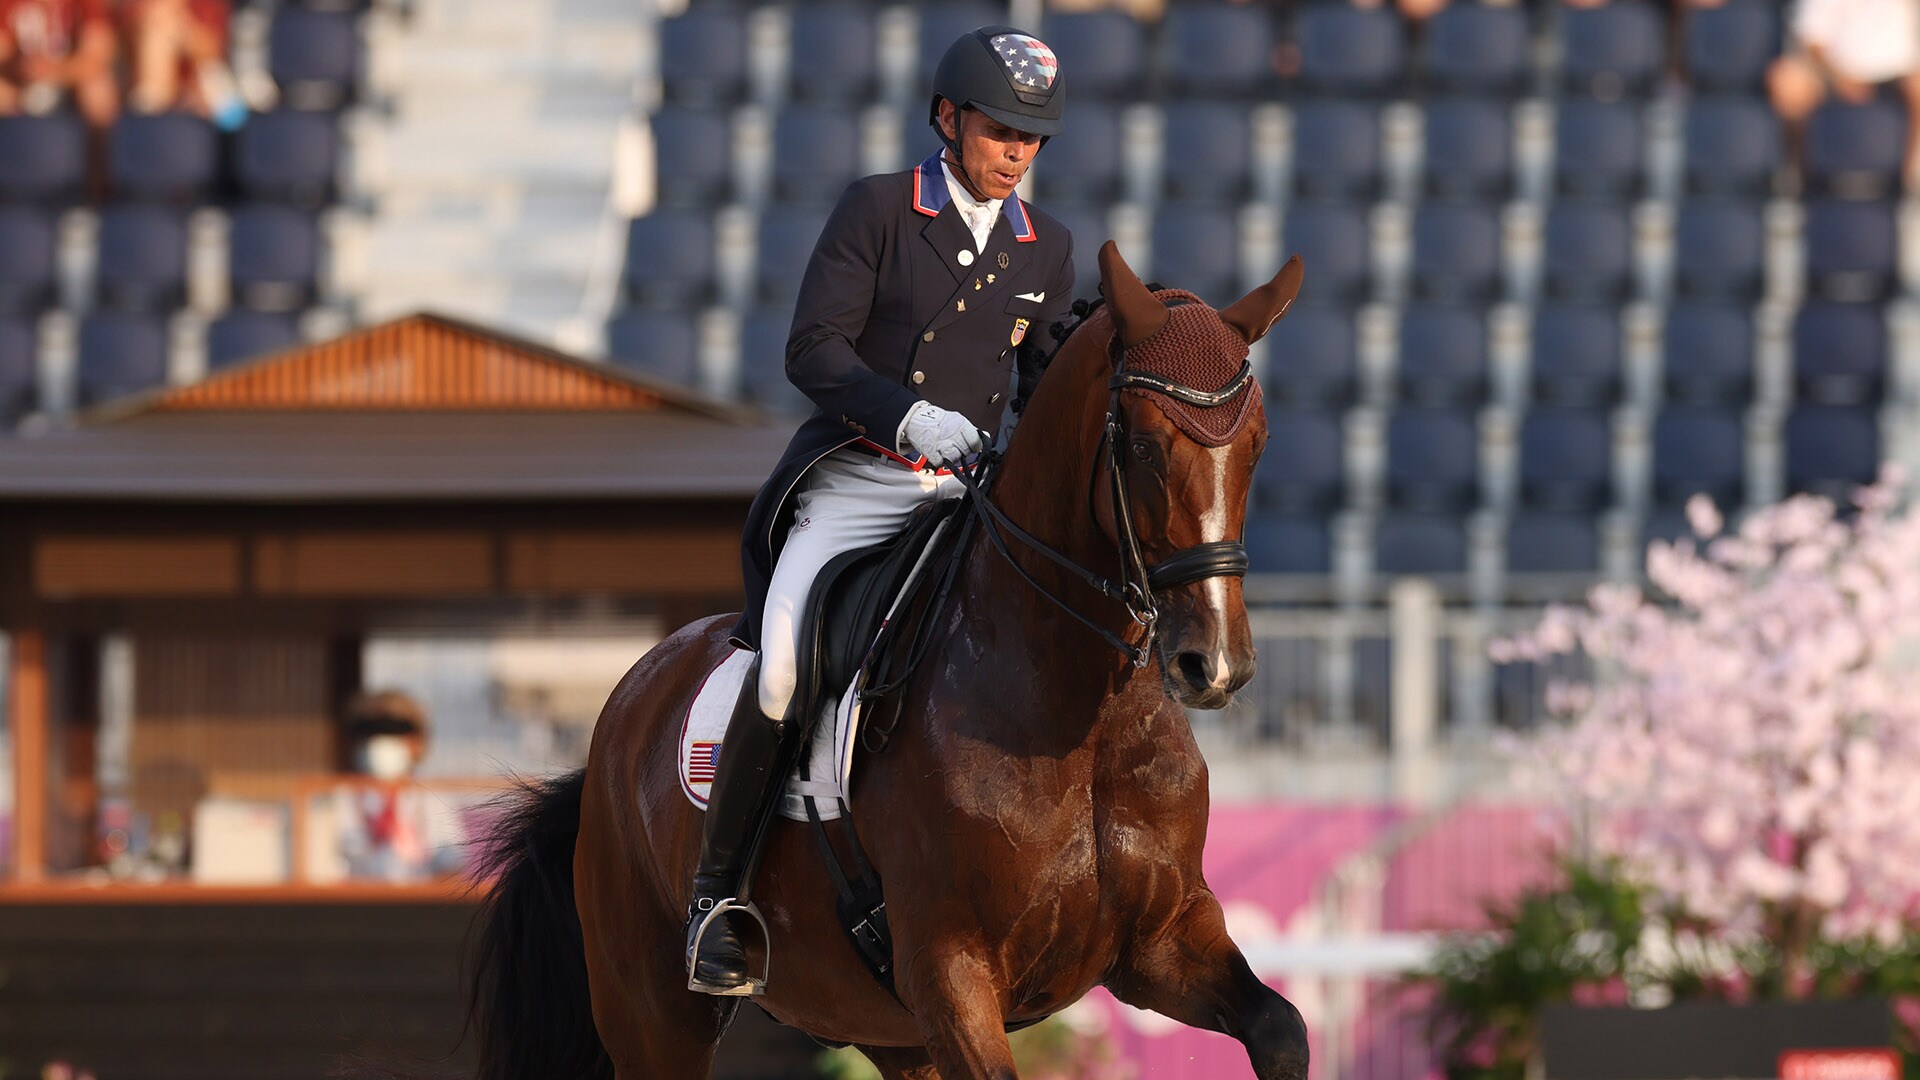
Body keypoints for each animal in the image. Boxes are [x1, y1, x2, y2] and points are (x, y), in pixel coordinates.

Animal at [465, 241, 1310, 1080]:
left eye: (1259, 445)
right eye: (1142, 446)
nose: (1215, 664)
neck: (1082, 718)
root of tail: (627, 704)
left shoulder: (1162, 945)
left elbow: (1282, 1029)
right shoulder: (949, 969)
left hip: (886, 1030)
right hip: (654, 1015)